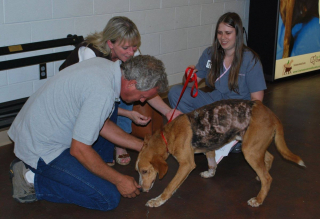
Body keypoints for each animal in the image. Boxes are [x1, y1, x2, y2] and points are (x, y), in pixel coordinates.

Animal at [135, 99, 304, 207]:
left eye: (145, 171)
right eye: (137, 171)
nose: (141, 190)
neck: (167, 136)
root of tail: (271, 114)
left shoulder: (186, 165)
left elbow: (170, 186)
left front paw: (158, 200)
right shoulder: (209, 148)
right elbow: (212, 164)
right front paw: (210, 174)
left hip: (250, 151)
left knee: (268, 178)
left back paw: (259, 199)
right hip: (253, 147)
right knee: (270, 158)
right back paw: (260, 179)